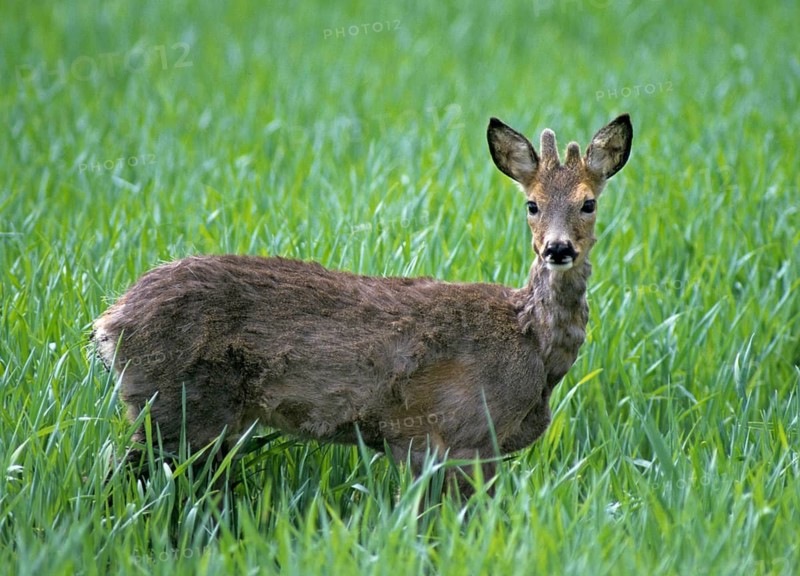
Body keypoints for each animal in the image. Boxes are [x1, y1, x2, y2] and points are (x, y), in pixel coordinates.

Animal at [92, 114, 632, 495]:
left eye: (588, 203)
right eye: (531, 204)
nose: (557, 249)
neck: (532, 343)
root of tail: (108, 323)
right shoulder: (457, 432)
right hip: (178, 407)